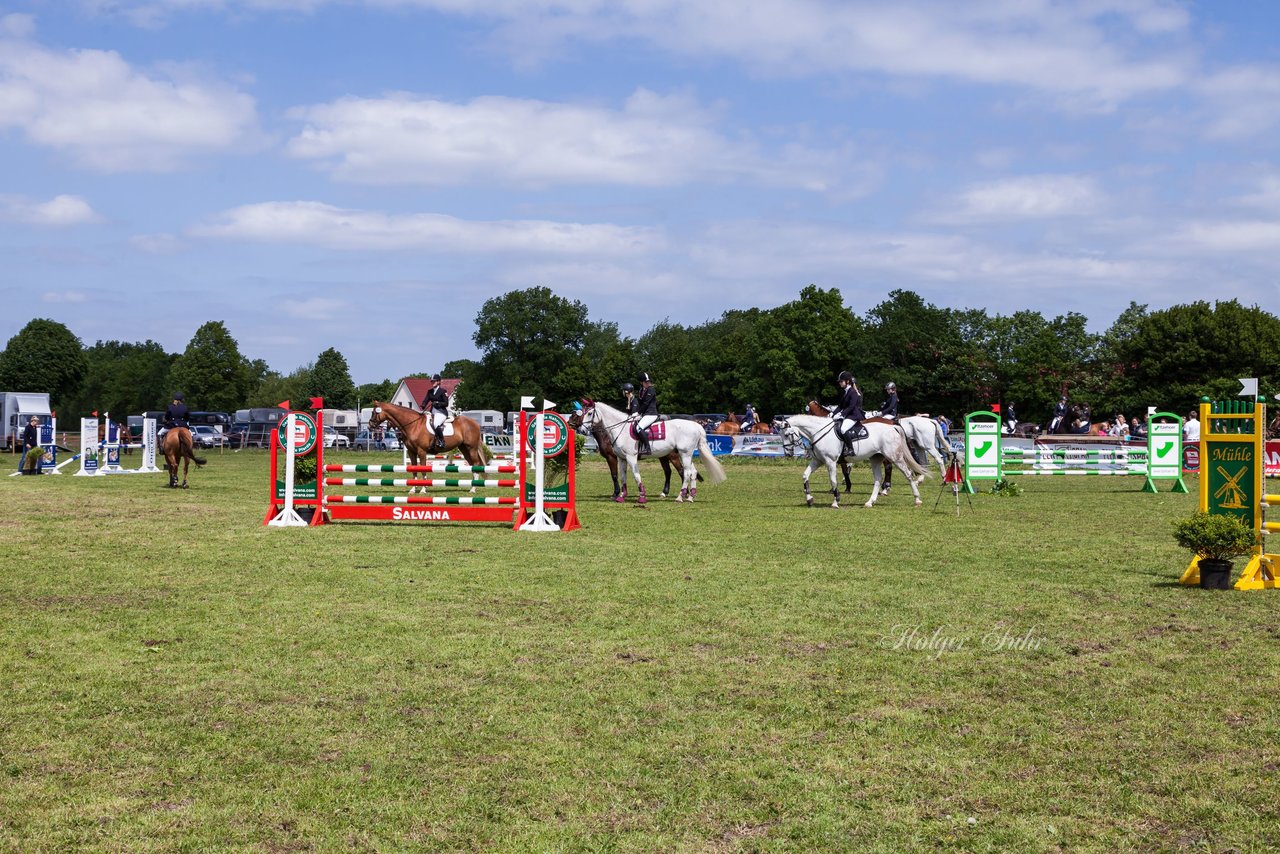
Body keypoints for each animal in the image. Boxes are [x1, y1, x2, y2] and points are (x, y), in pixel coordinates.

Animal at [583, 399, 727, 504]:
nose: (583, 430)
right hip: (686, 454)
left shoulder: (630, 457)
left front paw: (641, 497)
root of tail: (696, 425)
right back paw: (690, 497)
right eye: (582, 413)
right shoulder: (621, 458)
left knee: (685, 473)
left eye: (589, 413)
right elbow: (623, 476)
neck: (620, 429)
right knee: (693, 473)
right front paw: (621, 496)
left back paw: (680, 497)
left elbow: (636, 476)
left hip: (684, 454)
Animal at [778, 414, 931, 507]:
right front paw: (809, 499)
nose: (788, 453)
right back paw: (870, 502)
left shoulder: (830, 462)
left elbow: (833, 481)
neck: (819, 432)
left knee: (908, 475)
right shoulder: (818, 461)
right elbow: (805, 475)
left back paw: (917, 499)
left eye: (787, 434)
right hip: (876, 458)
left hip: (895, 457)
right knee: (878, 479)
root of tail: (892, 426)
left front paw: (836, 501)